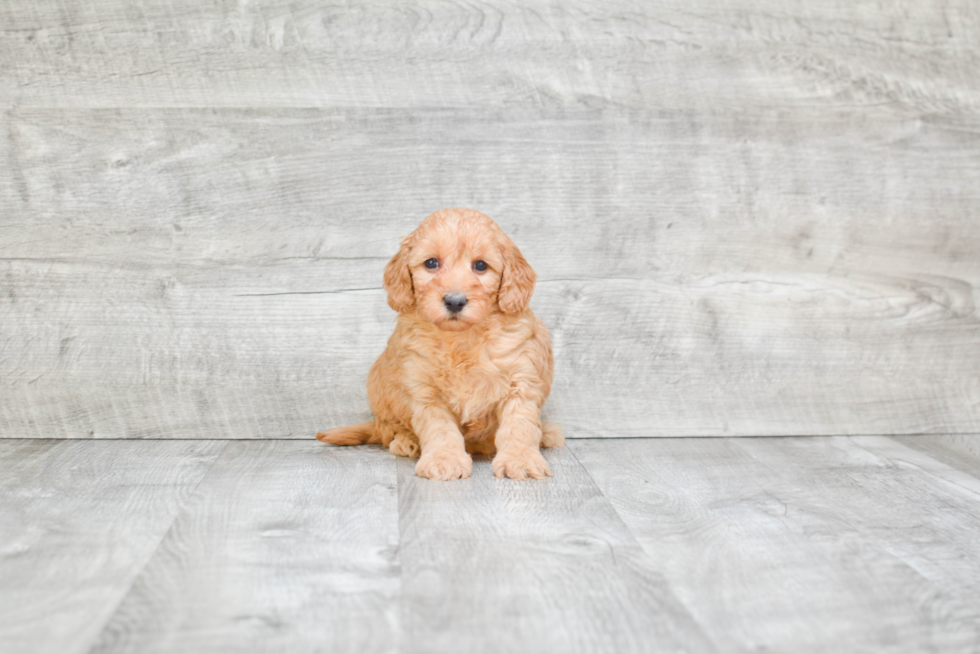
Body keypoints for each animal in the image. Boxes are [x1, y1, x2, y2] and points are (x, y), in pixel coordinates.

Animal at [318, 209, 564, 482]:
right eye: (431, 263)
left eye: (480, 265)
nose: (454, 301)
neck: (461, 337)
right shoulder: (424, 388)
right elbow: (440, 429)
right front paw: (444, 459)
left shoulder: (520, 379)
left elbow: (519, 424)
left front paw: (520, 459)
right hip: (380, 388)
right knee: (389, 429)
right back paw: (406, 442)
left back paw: (547, 434)